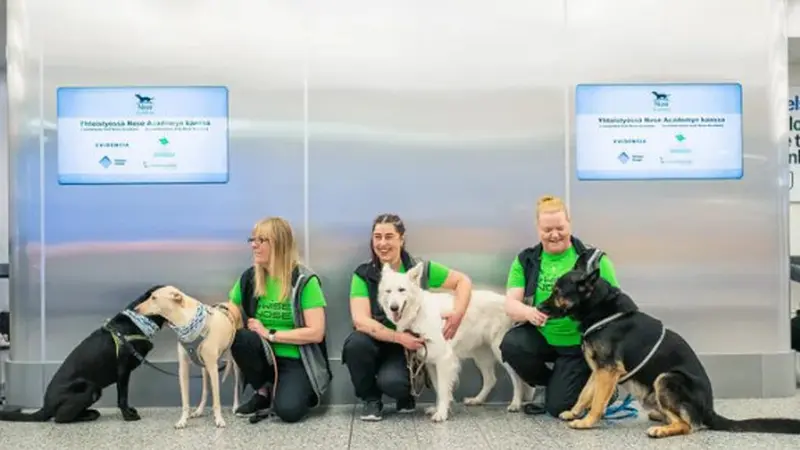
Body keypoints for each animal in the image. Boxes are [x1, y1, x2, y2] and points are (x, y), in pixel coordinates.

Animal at [0, 286, 167, 424]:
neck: (139, 320)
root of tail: (46, 406)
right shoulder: (123, 371)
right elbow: (122, 397)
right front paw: (128, 416)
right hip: (90, 388)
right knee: (60, 417)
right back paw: (88, 415)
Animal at [376, 262, 528, 420]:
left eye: (401, 290)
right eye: (388, 291)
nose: (393, 308)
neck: (417, 312)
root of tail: (511, 302)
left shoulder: (444, 360)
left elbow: (443, 390)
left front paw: (441, 413)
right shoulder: (431, 363)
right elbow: (438, 388)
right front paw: (438, 409)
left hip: (500, 351)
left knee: (517, 378)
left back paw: (515, 404)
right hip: (481, 356)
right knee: (491, 379)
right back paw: (477, 400)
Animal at [536, 255, 800, 438]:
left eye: (557, 291)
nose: (537, 308)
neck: (602, 310)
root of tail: (709, 410)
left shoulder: (607, 372)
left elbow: (598, 401)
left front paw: (587, 422)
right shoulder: (599, 371)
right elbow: (585, 394)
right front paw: (574, 412)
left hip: (666, 378)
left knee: (688, 425)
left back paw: (663, 430)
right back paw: (661, 417)